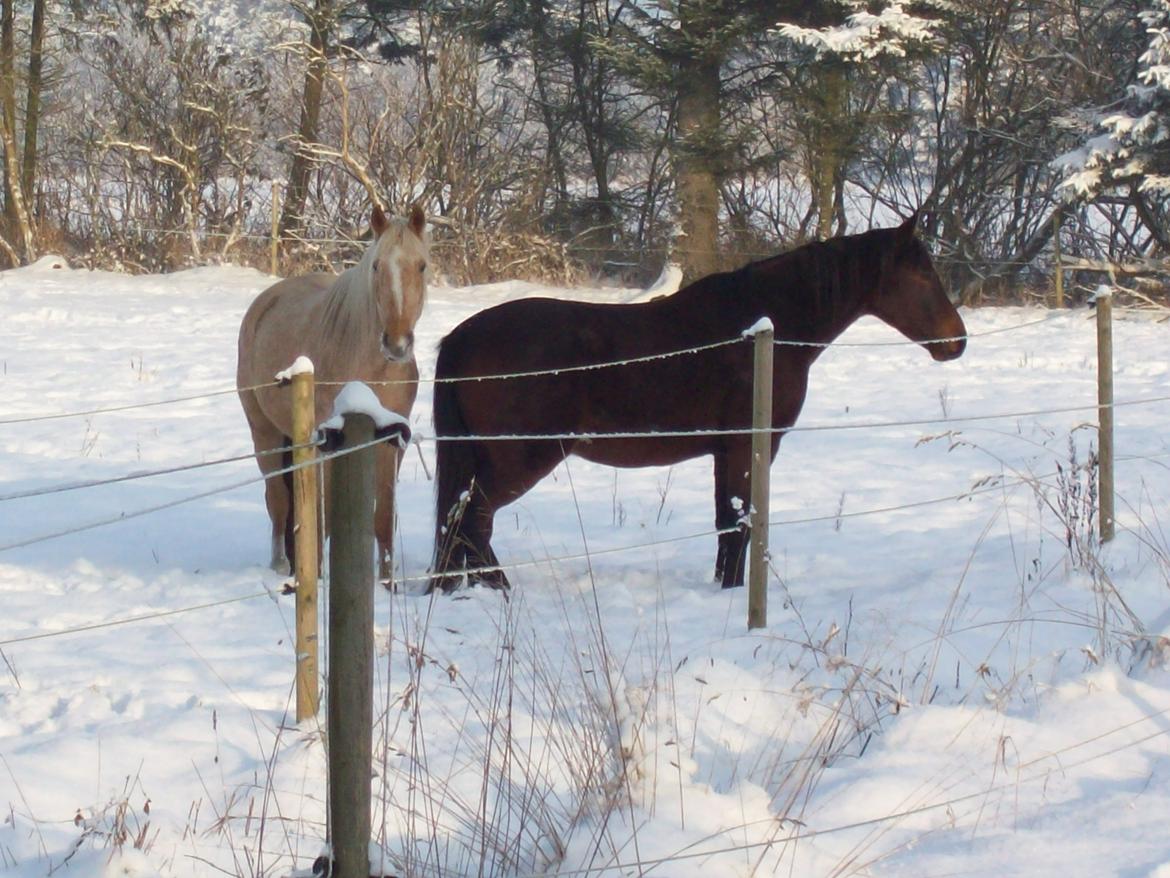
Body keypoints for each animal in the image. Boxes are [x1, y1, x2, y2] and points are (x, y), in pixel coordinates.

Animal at [235, 202, 428, 580]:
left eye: (422, 265)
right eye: (377, 266)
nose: (396, 344)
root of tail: (266, 300)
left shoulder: (391, 441)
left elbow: (384, 517)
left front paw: (387, 582)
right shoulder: (326, 442)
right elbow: (320, 518)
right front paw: (319, 577)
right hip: (264, 431)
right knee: (278, 500)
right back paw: (281, 564)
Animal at [430, 214, 968, 594]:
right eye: (921, 278)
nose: (957, 341)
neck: (762, 327)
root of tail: (461, 337)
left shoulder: (724, 451)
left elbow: (727, 524)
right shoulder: (749, 447)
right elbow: (739, 524)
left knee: (460, 524)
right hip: (521, 457)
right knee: (472, 521)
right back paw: (498, 588)